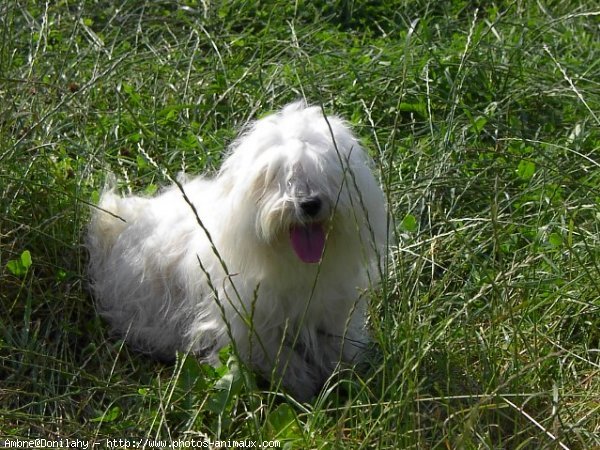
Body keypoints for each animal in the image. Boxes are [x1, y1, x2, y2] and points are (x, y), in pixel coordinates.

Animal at [88, 102, 390, 400]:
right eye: (275, 177)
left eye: (326, 171)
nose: (309, 203)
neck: (291, 263)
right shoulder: (249, 325)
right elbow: (277, 357)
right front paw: (301, 385)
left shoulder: (332, 313)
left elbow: (336, 347)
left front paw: (345, 372)